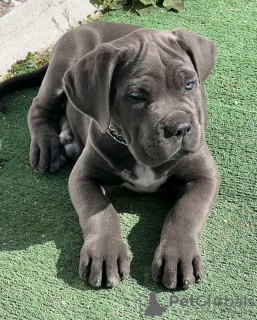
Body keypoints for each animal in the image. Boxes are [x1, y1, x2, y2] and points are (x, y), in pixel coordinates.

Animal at [0, 21, 220, 288]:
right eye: (136, 96)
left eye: (190, 85)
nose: (180, 128)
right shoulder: (83, 177)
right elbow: (99, 211)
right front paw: (104, 253)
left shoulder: (204, 175)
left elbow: (186, 211)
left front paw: (178, 254)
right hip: (61, 69)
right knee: (39, 106)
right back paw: (48, 147)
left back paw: (69, 139)